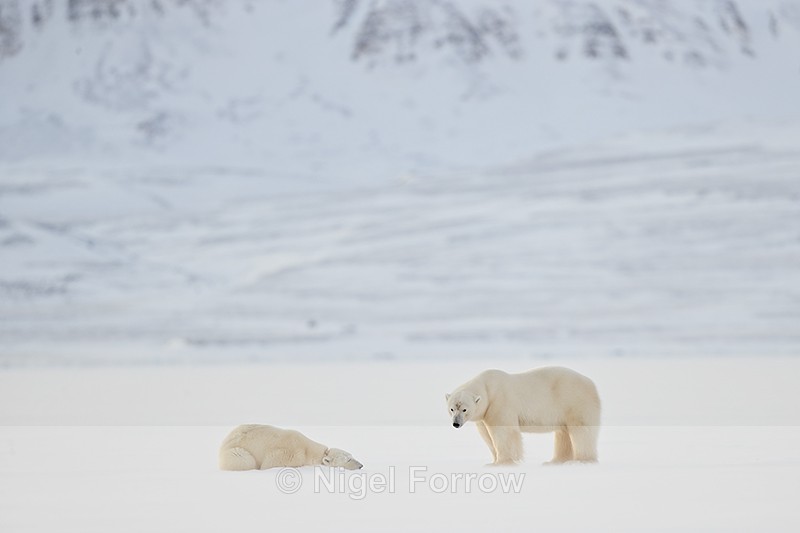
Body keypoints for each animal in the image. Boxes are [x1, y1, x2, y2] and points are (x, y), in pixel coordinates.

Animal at [219, 424, 363, 471]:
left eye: (352, 455)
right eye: (348, 459)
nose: (361, 465)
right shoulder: (289, 453)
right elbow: (270, 463)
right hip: (236, 451)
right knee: (243, 459)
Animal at [446, 366, 600, 465]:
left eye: (464, 409)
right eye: (452, 409)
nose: (456, 423)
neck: (488, 388)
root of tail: (592, 384)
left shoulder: (500, 403)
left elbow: (504, 432)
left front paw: (503, 462)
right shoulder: (484, 414)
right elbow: (487, 435)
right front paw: (494, 460)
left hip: (575, 402)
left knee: (581, 431)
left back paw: (582, 460)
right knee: (564, 433)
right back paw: (555, 461)